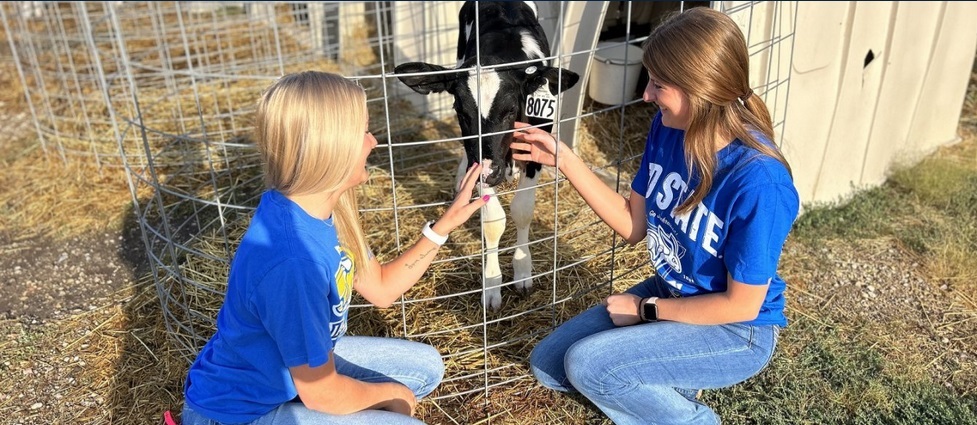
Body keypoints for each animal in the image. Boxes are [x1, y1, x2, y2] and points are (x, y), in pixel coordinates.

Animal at [394, 1, 580, 310]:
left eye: (510, 108)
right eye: (460, 111)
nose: (491, 171)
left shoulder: (536, 147)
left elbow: (522, 211)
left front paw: (522, 270)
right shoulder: (478, 161)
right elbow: (494, 222)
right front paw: (491, 285)